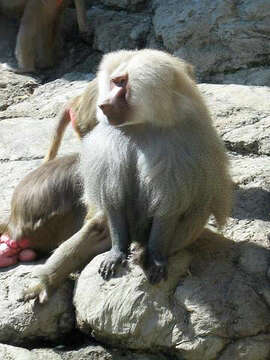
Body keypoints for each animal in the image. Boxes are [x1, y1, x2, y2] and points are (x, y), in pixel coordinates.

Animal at [79, 48, 232, 284]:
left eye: (122, 83)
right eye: (114, 82)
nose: (103, 104)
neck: (141, 125)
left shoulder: (176, 146)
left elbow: (168, 206)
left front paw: (156, 258)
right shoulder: (111, 140)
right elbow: (114, 199)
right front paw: (117, 252)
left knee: (198, 208)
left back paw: (148, 252)